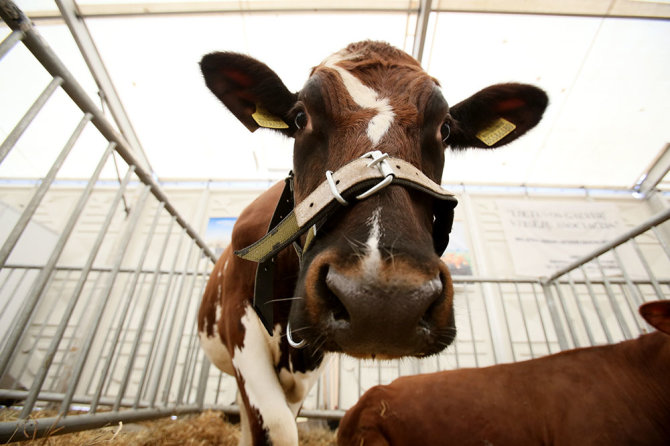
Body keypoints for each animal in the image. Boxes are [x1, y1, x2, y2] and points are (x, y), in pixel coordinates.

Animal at [197, 41, 548, 446]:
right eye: (300, 118)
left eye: (445, 128)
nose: (383, 301)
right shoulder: (240, 327)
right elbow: (277, 424)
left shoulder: (309, 363)